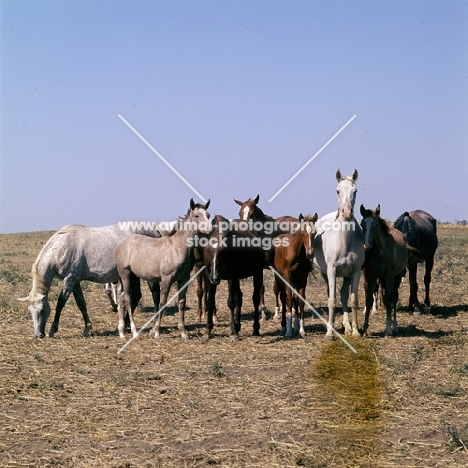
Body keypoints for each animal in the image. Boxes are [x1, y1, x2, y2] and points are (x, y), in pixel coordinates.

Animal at [18, 221, 168, 338]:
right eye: (30, 312)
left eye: (42, 310)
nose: (38, 335)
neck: (62, 246)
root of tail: (155, 230)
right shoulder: (75, 282)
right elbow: (81, 304)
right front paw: (87, 328)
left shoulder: (69, 279)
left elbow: (60, 303)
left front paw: (53, 330)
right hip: (131, 275)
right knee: (136, 296)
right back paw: (125, 324)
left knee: (155, 294)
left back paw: (153, 327)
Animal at [114, 198, 211, 340]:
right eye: (196, 215)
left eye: (208, 215)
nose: (210, 229)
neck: (177, 248)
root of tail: (120, 244)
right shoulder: (166, 279)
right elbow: (162, 303)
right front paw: (156, 332)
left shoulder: (184, 279)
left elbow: (181, 302)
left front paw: (184, 333)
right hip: (125, 275)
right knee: (127, 298)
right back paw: (134, 331)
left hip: (132, 276)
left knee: (121, 298)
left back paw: (121, 332)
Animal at [312, 168, 368, 340]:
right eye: (337, 191)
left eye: (355, 191)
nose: (347, 212)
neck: (345, 241)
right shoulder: (332, 270)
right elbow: (332, 300)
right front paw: (329, 334)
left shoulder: (356, 271)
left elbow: (353, 300)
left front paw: (355, 331)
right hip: (326, 273)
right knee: (332, 294)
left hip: (346, 275)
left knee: (343, 294)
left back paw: (347, 327)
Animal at [360, 205, 408, 336]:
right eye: (362, 224)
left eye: (376, 225)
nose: (367, 245)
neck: (379, 252)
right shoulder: (371, 274)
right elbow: (369, 299)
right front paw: (364, 328)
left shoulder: (388, 275)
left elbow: (387, 299)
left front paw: (388, 329)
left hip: (397, 277)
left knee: (394, 298)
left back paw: (394, 326)